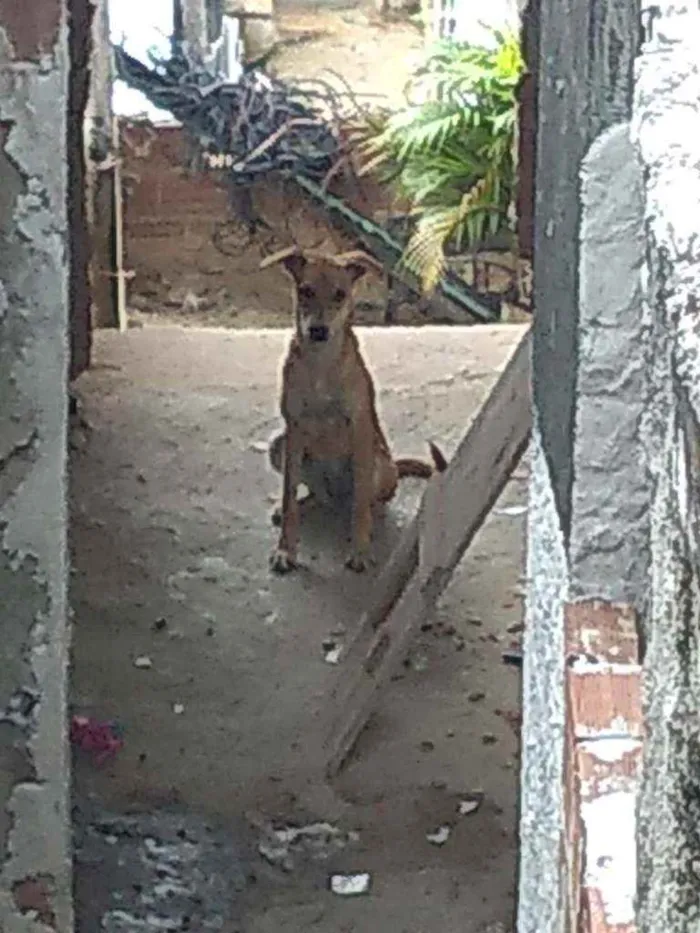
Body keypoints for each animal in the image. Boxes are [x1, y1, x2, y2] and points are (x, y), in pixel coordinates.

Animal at [262, 244, 448, 572]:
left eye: (340, 294)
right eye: (305, 290)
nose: (318, 331)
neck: (321, 363)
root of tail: (336, 500)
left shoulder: (359, 427)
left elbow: (361, 503)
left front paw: (360, 550)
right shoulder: (293, 430)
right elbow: (288, 493)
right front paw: (285, 548)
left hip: (379, 463)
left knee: (367, 502)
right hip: (278, 446)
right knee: (312, 496)